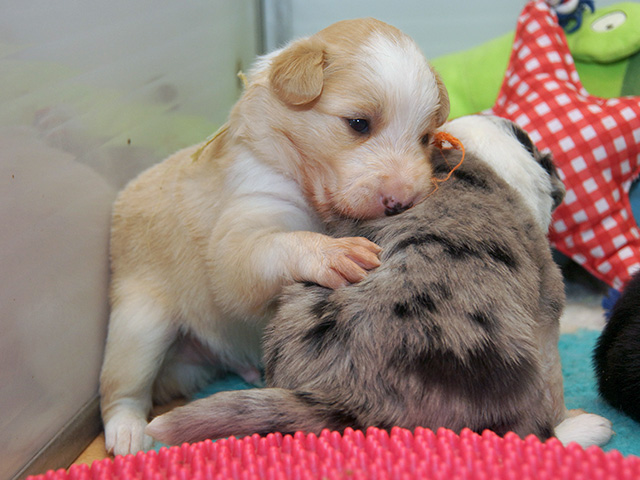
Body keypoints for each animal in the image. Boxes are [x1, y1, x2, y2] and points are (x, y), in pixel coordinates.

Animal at [99, 18, 450, 456]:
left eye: (425, 138)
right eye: (358, 123)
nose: (402, 202)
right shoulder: (241, 232)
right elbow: (277, 245)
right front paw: (332, 253)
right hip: (140, 322)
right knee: (120, 389)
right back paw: (127, 433)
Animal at [146, 115, 613, 449]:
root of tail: (340, 393)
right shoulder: (547, 309)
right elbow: (554, 383)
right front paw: (567, 417)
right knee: (522, 431)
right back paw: (586, 430)